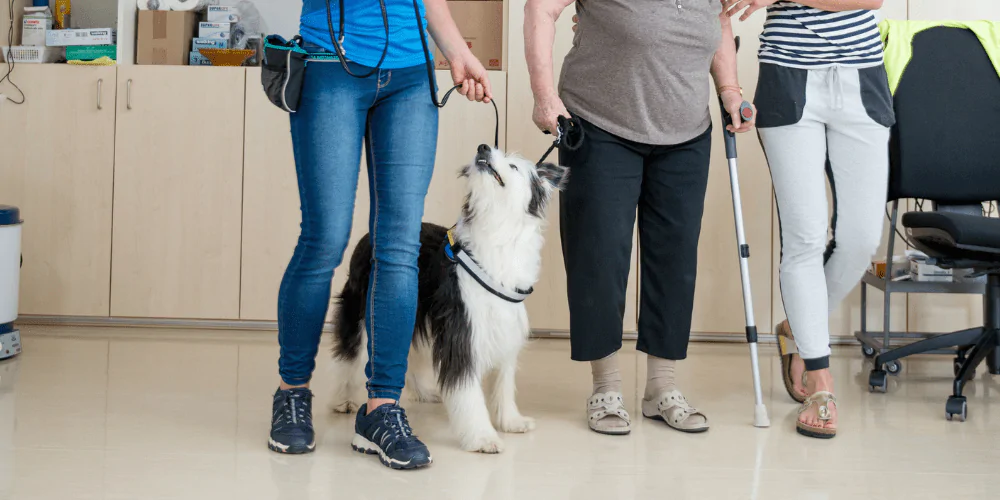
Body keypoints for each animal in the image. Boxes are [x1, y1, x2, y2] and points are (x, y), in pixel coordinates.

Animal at [332, 144, 568, 454]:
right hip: (359, 312)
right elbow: (467, 390)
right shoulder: (462, 331)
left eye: (514, 166)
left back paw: (423, 392)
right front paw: (482, 437)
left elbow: (504, 381)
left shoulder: (504, 326)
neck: (496, 229)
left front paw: (511, 421)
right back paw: (342, 399)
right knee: (349, 355)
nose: (483, 147)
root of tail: (370, 236)